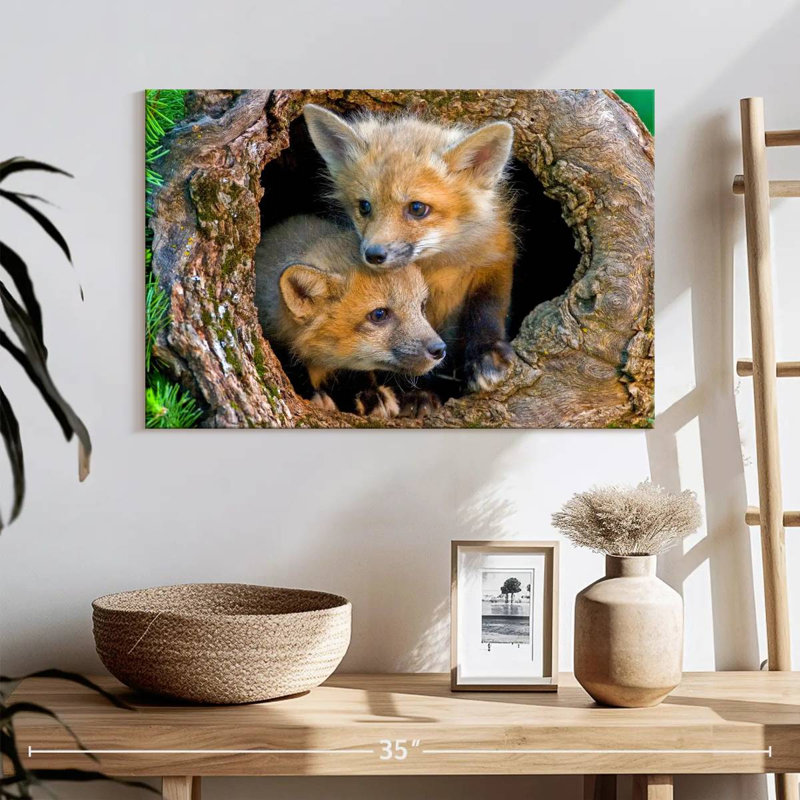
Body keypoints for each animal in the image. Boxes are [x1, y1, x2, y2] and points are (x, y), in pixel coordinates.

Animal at [303, 104, 516, 392]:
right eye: (364, 206)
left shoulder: (494, 258)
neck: (438, 268)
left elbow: (487, 309)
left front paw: (486, 353)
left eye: (417, 208)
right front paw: (417, 393)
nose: (373, 254)